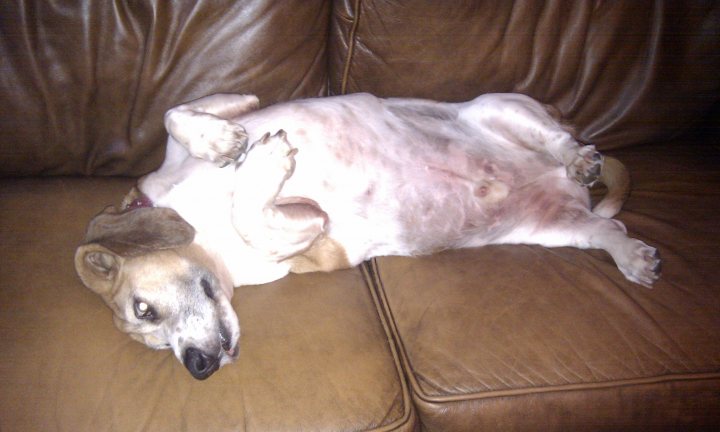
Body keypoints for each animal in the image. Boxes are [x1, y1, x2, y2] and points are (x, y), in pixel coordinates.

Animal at [73, 93, 660, 380]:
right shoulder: (311, 231)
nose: (197, 368)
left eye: (143, 308)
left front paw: (231, 145)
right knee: (607, 228)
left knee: (561, 139)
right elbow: (251, 214)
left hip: (499, 107)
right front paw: (251, 161)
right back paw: (632, 255)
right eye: (153, 341)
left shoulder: (214, 122)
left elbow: (176, 113)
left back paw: (579, 156)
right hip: (556, 229)